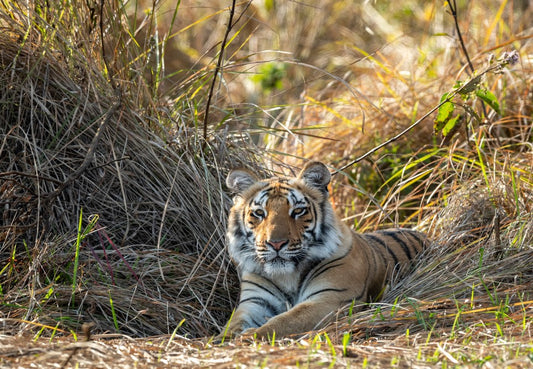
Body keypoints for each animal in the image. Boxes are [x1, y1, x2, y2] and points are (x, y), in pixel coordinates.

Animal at [220, 160, 424, 338]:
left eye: (298, 211)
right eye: (259, 213)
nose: (276, 243)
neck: (287, 276)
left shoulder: (331, 298)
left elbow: (286, 321)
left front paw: (250, 336)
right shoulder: (254, 302)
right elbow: (232, 325)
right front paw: (221, 340)